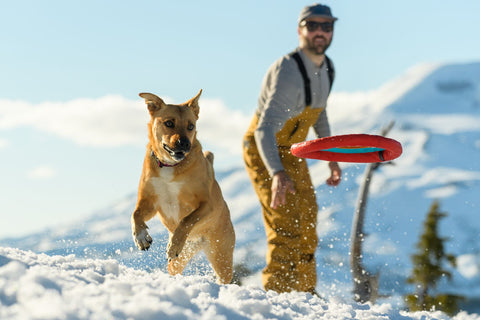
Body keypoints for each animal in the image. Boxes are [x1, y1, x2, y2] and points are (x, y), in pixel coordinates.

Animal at [131, 89, 236, 284]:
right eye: (169, 123)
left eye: (191, 126)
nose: (185, 143)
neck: (169, 166)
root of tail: (197, 243)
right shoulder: (150, 202)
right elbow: (136, 214)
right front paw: (141, 238)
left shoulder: (206, 204)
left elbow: (187, 220)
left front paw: (174, 244)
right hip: (181, 259)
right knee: (175, 267)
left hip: (221, 253)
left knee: (223, 274)